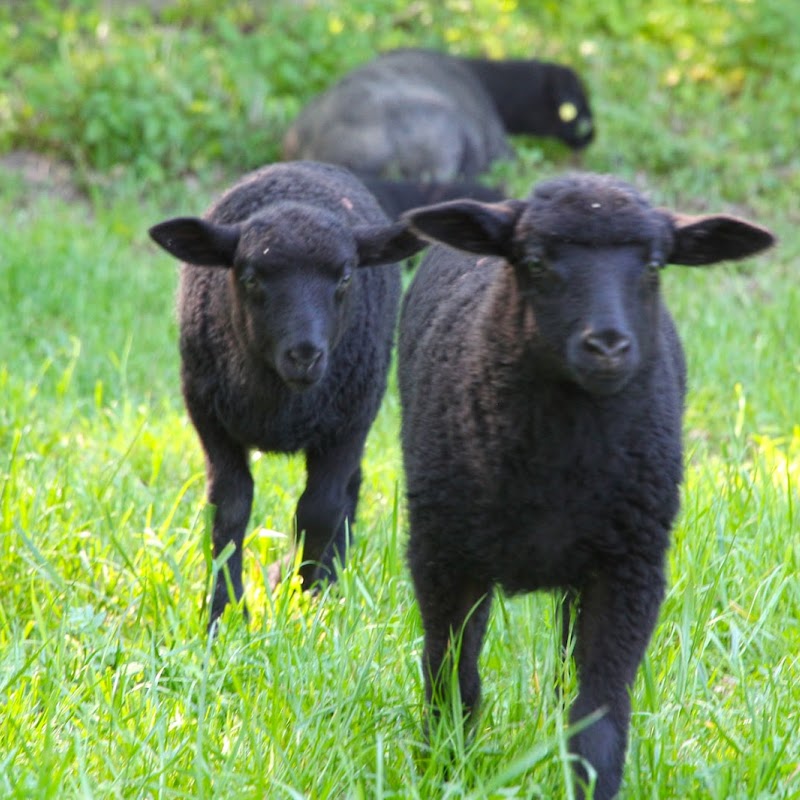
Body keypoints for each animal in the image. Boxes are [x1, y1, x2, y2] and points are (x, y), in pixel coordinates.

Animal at [149, 161, 424, 624]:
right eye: (250, 278)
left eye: (345, 278)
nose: (305, 355)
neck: (280, 405)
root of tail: (306, 166)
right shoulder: (208, 417)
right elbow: (230, 507)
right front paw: (225, 611)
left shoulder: (350, 422)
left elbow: (319, 510)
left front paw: (303, 591)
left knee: (347, 490)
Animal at [400, 175, 776, 800]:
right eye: (534, 261)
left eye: (654, 265)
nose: (607, 346)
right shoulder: (442, 557)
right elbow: (452, 675)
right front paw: (444, 769)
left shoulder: (628, 571)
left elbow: (597, 712)